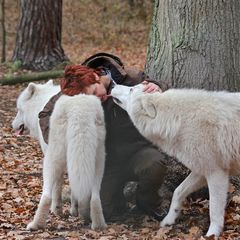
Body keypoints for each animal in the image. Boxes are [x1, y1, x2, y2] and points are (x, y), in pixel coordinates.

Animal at [12, 81, 106, 230]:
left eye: (19, 110)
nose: (12, 125)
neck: (40, 104)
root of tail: (79, 110)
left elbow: (58, 187)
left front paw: (57, 210)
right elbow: (74, 186)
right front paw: (74, 210)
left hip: (50, 161)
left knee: (46, 196)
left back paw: (36, 224)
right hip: (98, 162)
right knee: (95, 196)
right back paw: (97, 223)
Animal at [112, 84, 240, 236]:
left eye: (131, 89)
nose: (113, 85)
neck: (179, 120)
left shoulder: (216, 173)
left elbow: (214, 210)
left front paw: (212, 234)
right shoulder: (201, 171)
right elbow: (178, 192)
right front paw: (169, 219)